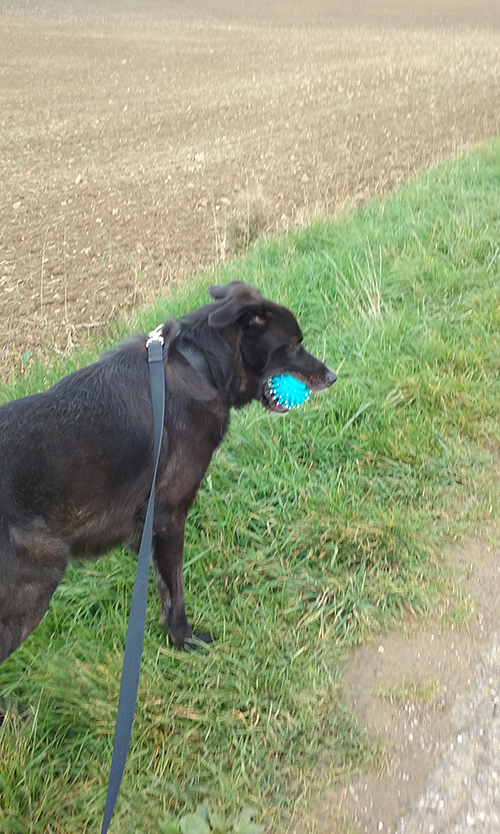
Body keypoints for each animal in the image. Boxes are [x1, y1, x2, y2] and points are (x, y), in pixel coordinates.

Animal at [0, 282, 336, 664]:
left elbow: (159, 580)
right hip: (40, 572)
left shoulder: (148, 528)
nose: (332, 377)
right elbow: (174, 590)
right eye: (293, 344)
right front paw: (184, 640)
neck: (198, 364)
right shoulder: (169, 517)